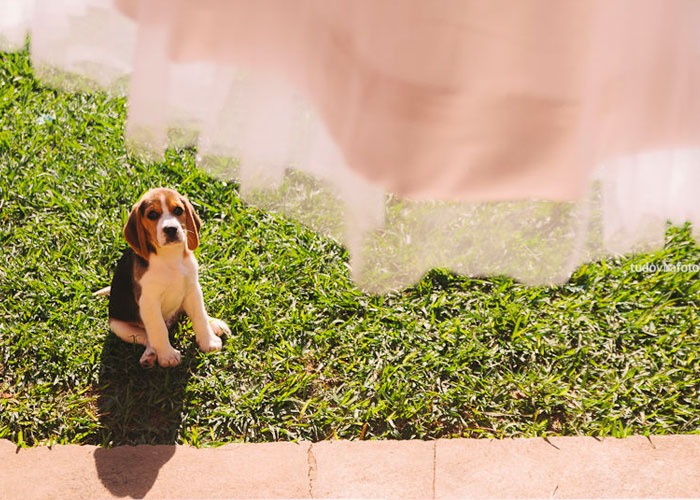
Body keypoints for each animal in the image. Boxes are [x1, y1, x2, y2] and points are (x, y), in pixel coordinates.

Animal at [108, 188, 230, 368]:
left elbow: (199, 316)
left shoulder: (193, 289)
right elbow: (158, 330)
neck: (169, 257)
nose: (171, 229)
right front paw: (167, 355)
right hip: (119, 326)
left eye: (178, 210)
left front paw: (208, 341)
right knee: (147, 337)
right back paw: (150, 355)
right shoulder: (149, 302)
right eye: (152, 214)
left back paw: (214, 323)